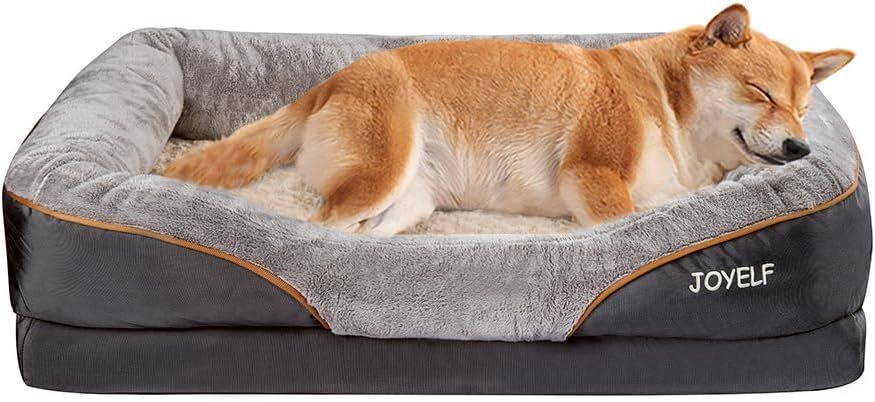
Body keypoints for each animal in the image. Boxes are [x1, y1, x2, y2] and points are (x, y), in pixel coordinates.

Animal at [163, 3, 848, 236]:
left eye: (802, 109)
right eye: (760, 92)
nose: (800, 149)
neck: (663, 103)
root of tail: (332, 80)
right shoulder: (594, 176)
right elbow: (621, 218)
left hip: (410, 203)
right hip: (380, 174)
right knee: (319, 231)